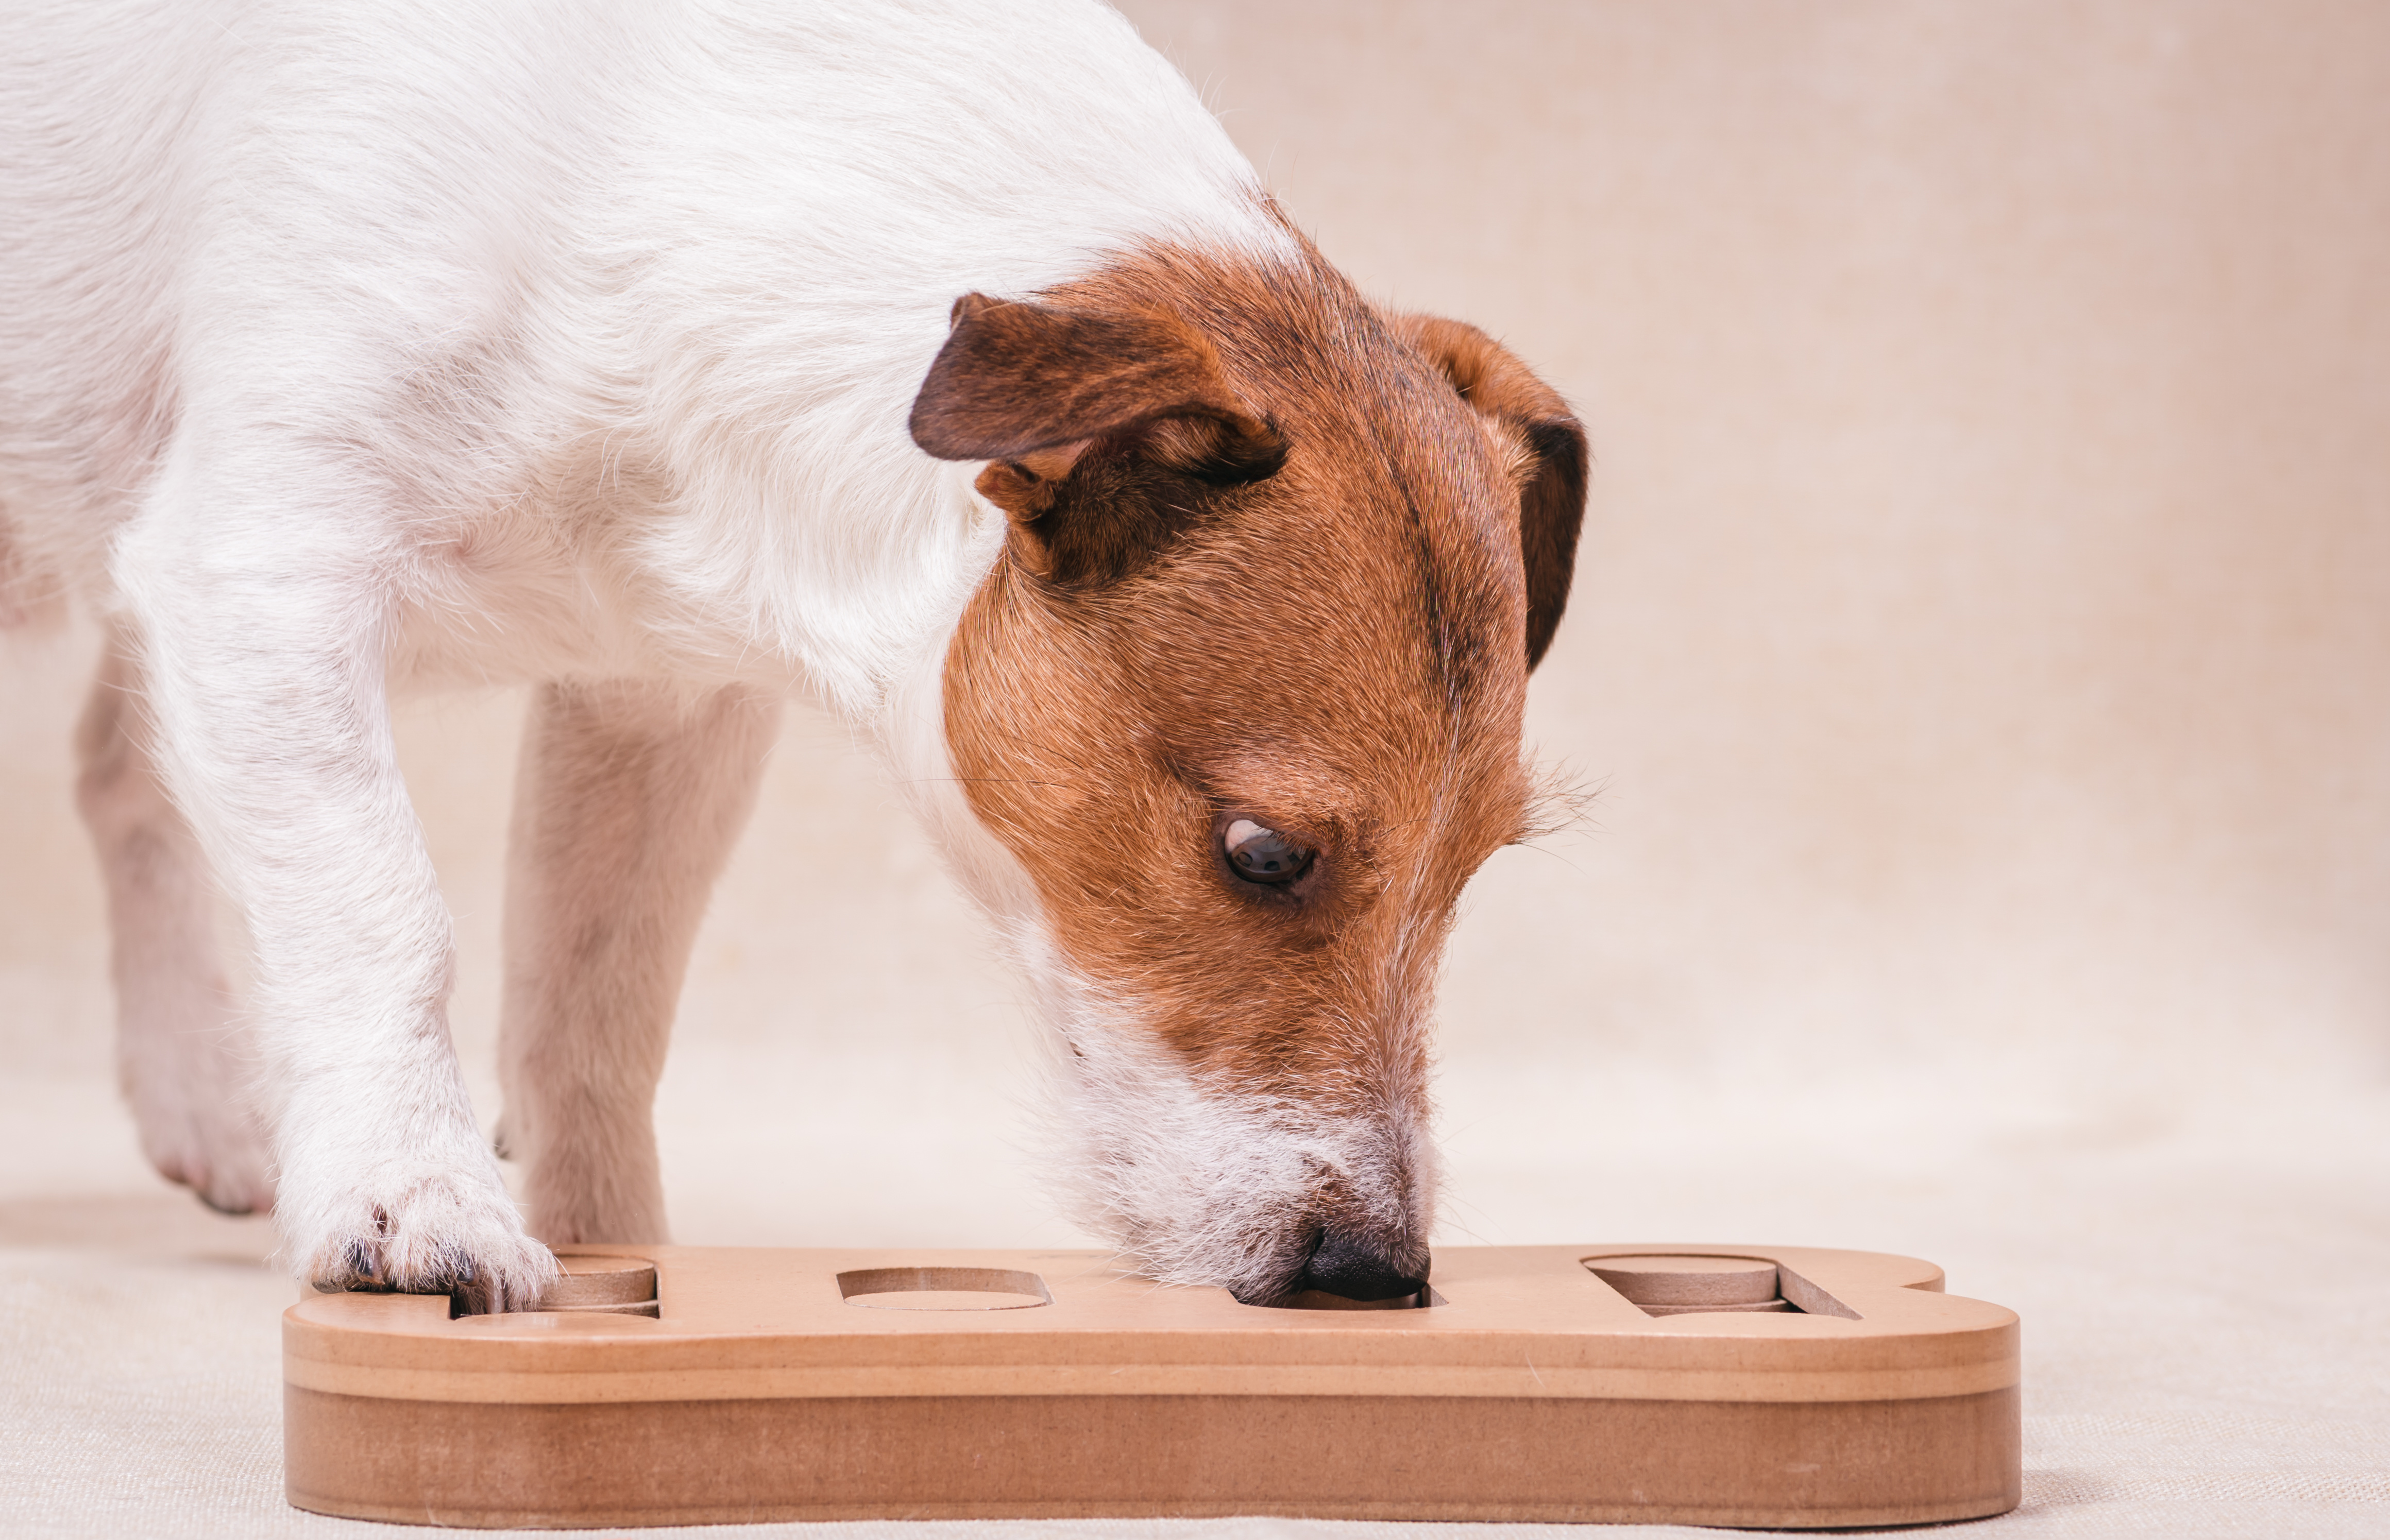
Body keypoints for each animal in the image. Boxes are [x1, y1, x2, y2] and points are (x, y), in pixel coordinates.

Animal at [0, 0, 1587, 1308]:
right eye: (1260, 852)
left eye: (1473, 869)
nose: (1371, 1270)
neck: (664, 171)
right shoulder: (265, 575)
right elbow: (385, 910)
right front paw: (412, 1193)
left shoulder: (654, 704)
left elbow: (597, 998)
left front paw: (614, 1246)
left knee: (120, 768)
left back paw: (202, 1095)